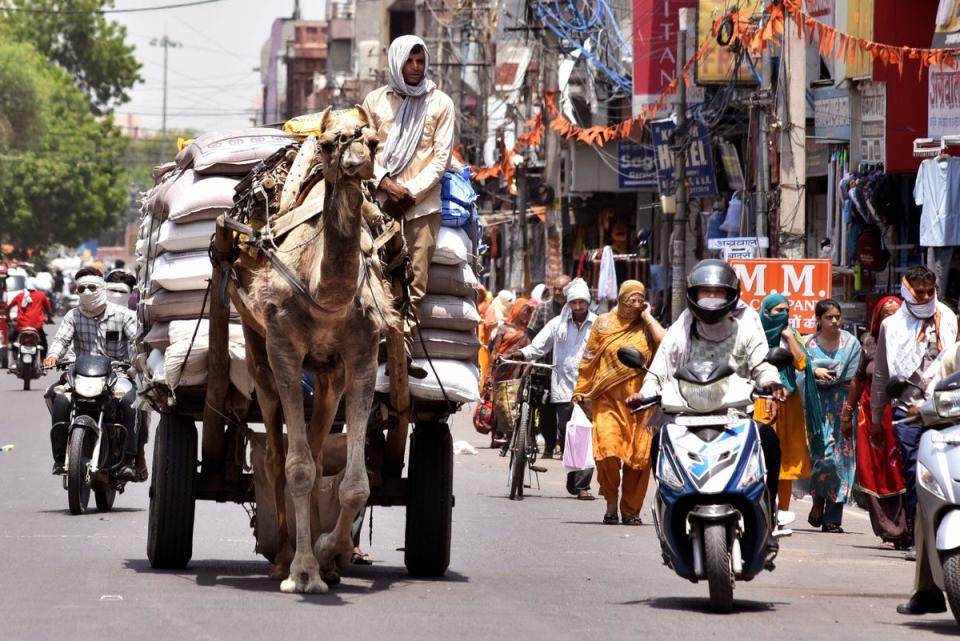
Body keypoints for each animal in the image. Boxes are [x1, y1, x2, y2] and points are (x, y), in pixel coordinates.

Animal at [225, 107, 398, 592]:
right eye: (325, 143)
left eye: (373, 141)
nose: (356, 163)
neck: (325, 294)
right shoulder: (284, 349)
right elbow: (297, 469)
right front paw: (302, 571)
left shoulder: (361, 355)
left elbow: (355, 482)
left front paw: (325, 553)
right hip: (256, 342)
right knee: (275, 452)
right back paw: (282, 556)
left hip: (328, 375)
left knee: (320, 451)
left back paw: (325, 560)